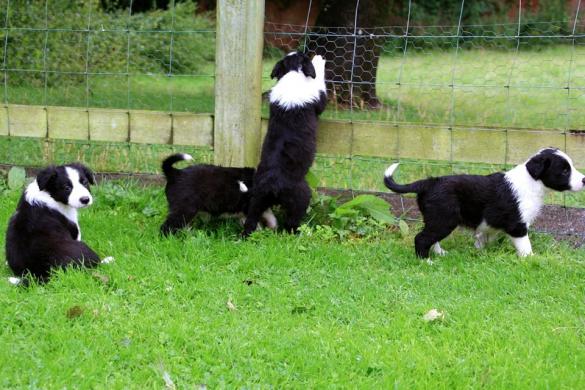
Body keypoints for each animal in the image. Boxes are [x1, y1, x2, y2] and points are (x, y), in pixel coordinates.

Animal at [240, 50, 326, 236]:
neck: (292, 72)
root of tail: (271, 184)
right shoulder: (319, 98)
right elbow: (320, 82)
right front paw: (319, 60)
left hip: (256, 201)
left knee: (250, 221)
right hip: (301, 196)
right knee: (292, 223)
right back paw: (300, 233)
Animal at [384, 148, 584, 258]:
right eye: (564, 171)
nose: (584, 180)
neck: (532, 182)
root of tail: (430, 182)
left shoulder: (489, 225)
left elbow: (483, 239)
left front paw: (480, 252)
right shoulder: (517, 226)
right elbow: (525, 247)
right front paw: (531, 259)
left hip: (435, 220)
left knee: (431, 239)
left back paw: (441, 254)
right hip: (444, 220)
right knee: (422, 238)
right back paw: (427, 261)